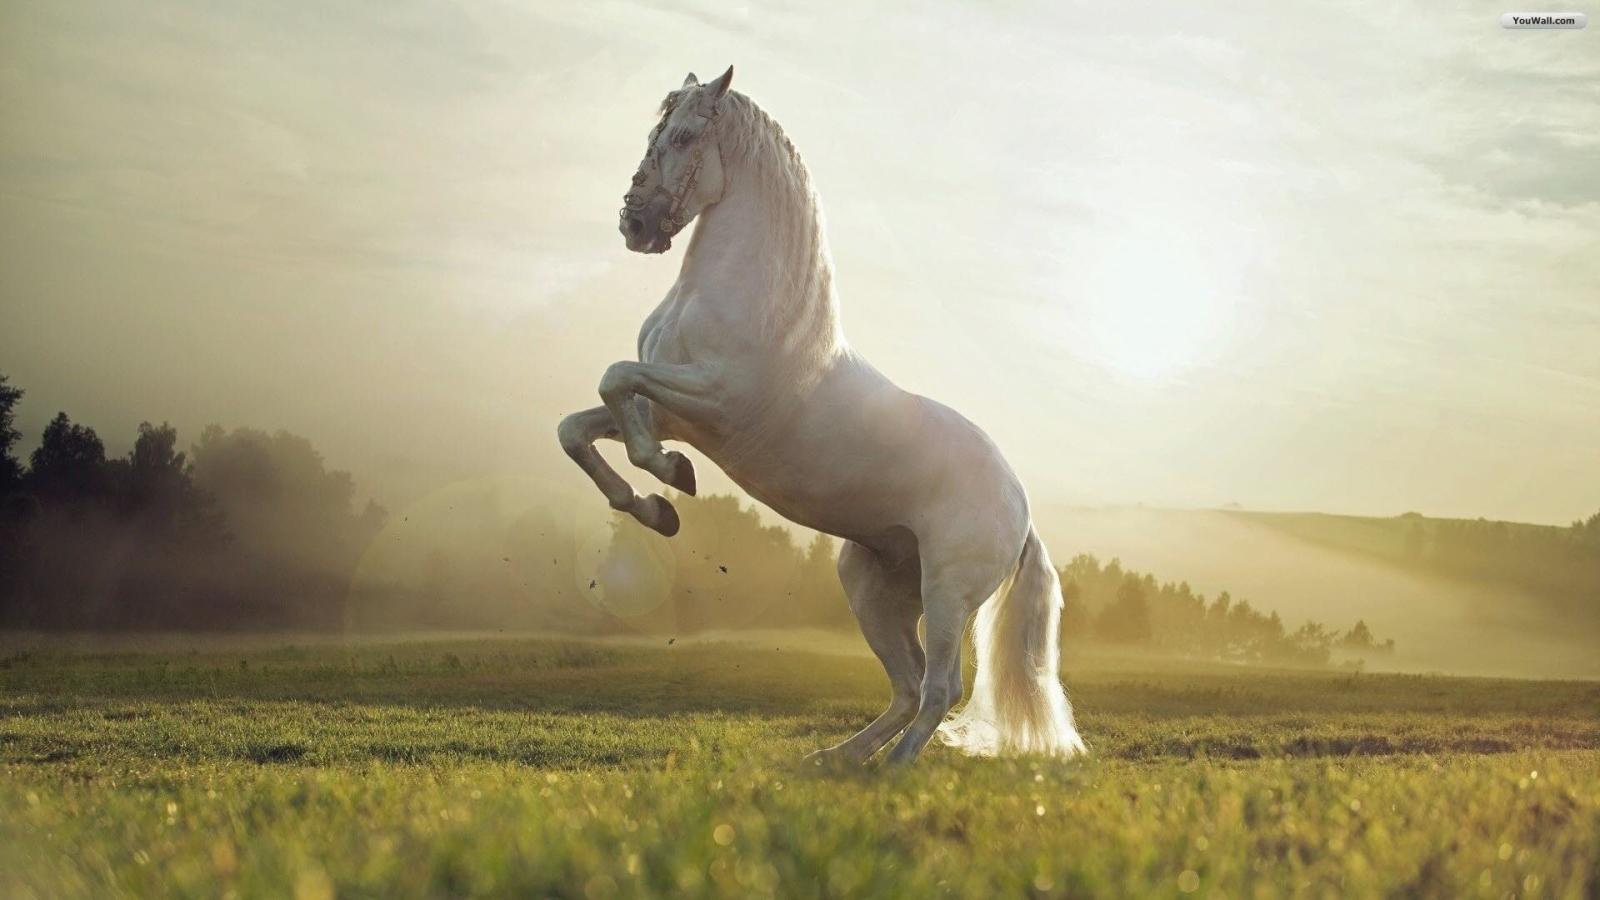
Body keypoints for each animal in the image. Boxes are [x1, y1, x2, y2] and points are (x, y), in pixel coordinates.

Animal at [558, 67, 1086, 766]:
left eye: (685, 136)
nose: (635, 224)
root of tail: (1020, 509)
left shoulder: (713, 400)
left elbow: (617, 381)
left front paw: (671, 479)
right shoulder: (670, 411)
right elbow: (580, 426)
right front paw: (654, 507)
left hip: (948, 594)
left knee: (940, 687)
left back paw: (891, 772)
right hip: (871, 586)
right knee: (908, 686)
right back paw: (834, 762)